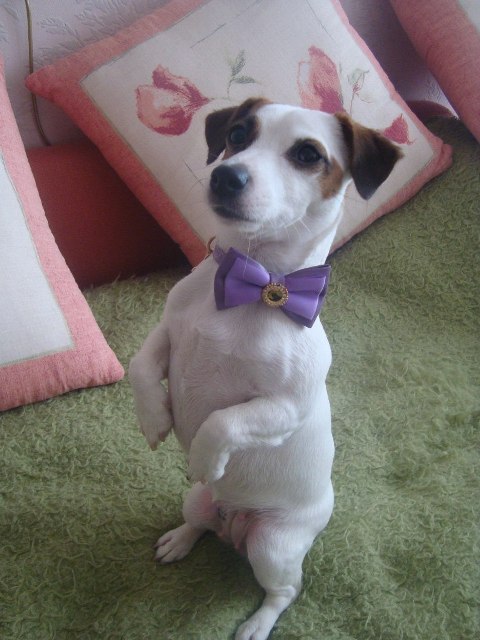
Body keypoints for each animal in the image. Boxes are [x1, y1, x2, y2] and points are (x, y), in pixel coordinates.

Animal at [129, 98, 402, 640]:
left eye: (307, 154)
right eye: (237, 134)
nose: (226, 176)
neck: (254, 284)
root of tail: (234, 526)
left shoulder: (284, 407)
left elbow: (224, 421)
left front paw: (204, 455)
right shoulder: (168, 332)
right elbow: (139, 366)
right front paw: (155, 418)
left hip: (271, 546)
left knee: (285, 591)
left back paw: (258, 623)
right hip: (197, 501)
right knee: (199, 522)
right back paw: (180, 540)